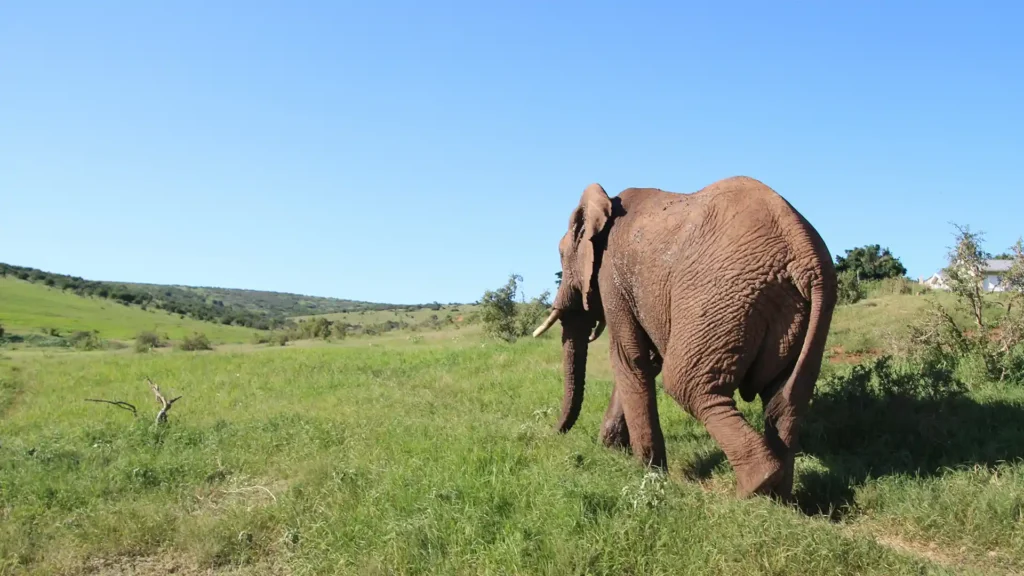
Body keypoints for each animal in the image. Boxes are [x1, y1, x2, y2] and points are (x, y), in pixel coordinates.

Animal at [532, 174, 835, 498]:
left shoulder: (611, 274)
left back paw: (753, 488)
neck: (606, 203)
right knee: (784, 399)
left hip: (720, 297)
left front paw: (647, 473)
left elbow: (629, 359)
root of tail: (805, 257)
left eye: (561, 254)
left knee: (688, 386)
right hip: (799, 314)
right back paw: (777, 498)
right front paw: (613, 450)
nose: (553, 433)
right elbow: (646, 361)